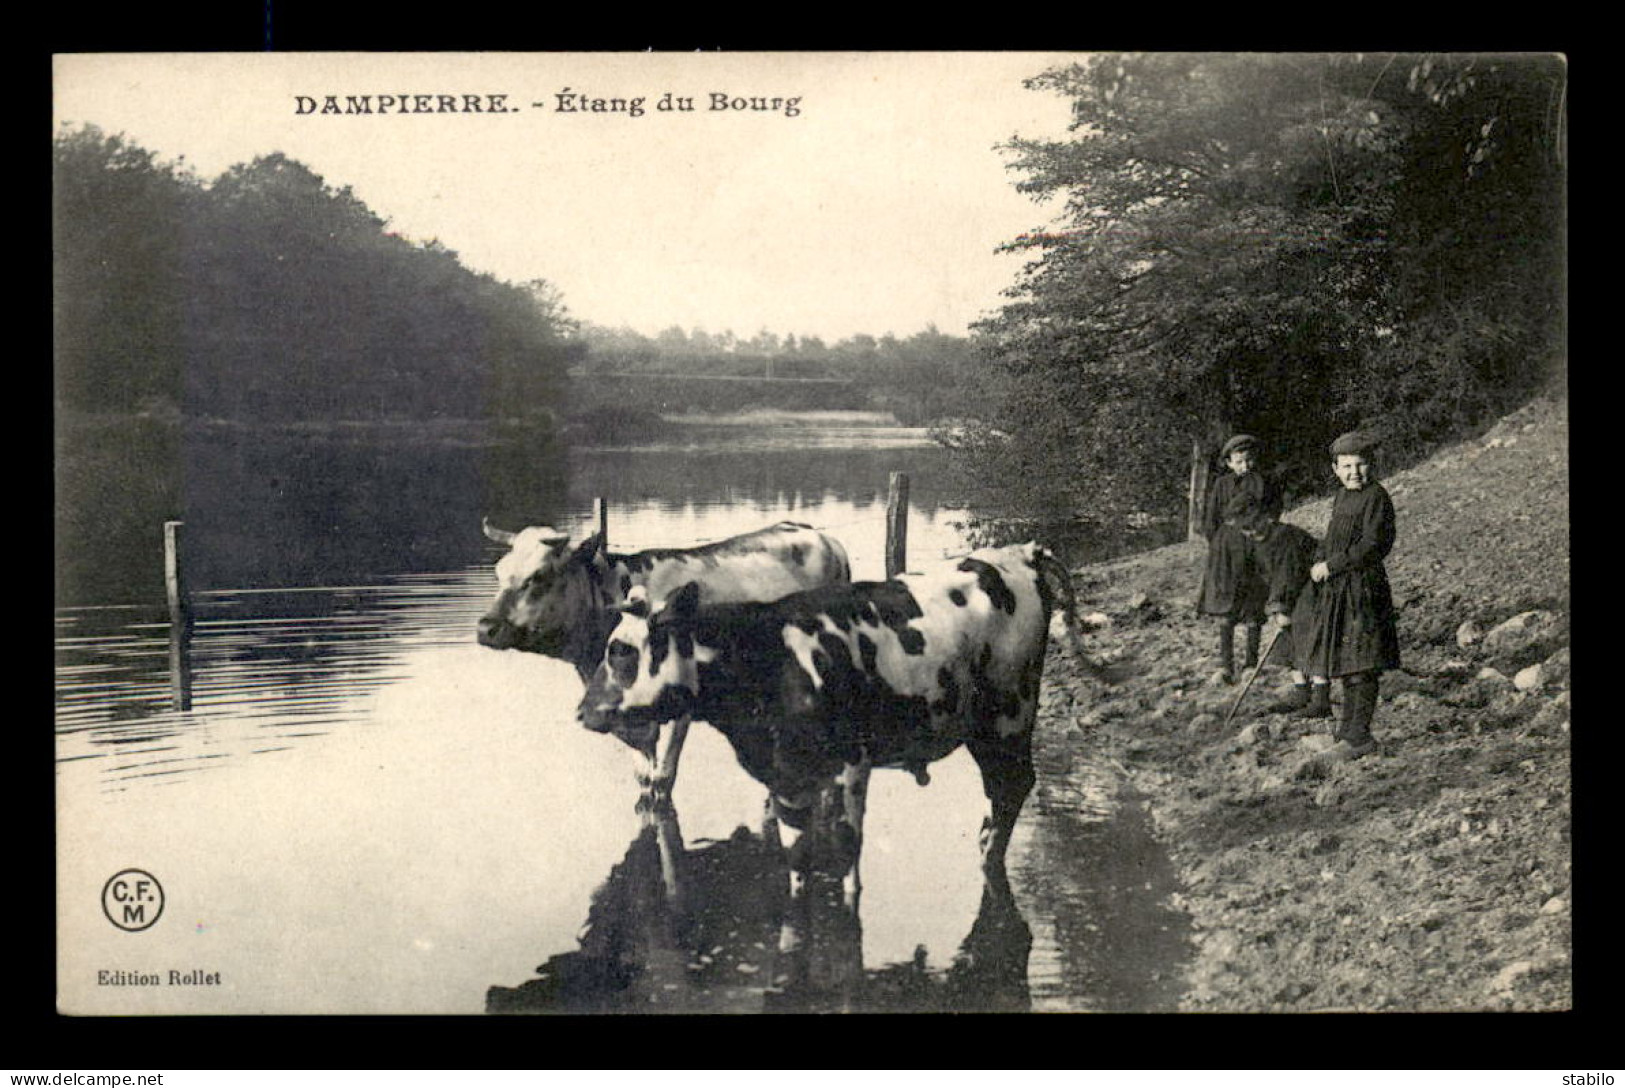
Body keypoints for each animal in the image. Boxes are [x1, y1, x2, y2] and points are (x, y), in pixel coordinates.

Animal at [474, 522, 851, 795]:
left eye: (539, 576)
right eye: (498, 572)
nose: (485, 627)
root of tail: (820, 535)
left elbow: (663, 780)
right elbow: (643, 775)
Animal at [578, 542, 1085, 922]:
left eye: (619, 650)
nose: (582, 711)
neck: (769, 658)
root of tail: (1020, 552)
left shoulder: (848, 769)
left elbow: (844, 854)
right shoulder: (788, 780)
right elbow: (798, 859)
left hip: (1006, 717)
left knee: (1009, 788)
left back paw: (988, 860)